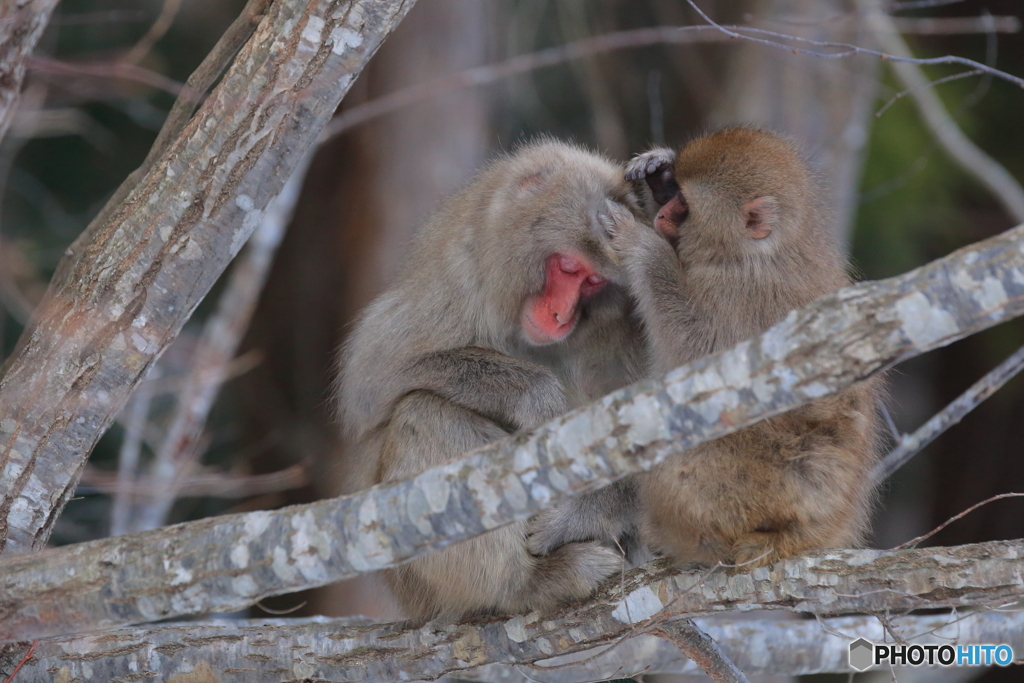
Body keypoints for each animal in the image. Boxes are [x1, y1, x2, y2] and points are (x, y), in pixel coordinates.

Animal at [337, 140, 647, 618]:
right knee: (422, 413)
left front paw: (583, 513)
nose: (561, 315)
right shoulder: (458, 273)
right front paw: (537, 397)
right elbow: (371, 379)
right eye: (567, 266)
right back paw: (525, 583)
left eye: (594, 281)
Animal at [610, 126, 884, 565]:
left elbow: (701, 358)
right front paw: (658, 168)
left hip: (751, 490)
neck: (748, 253)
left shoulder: (736, 293)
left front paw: (645, 249)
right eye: (674, 194)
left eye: (685, 208)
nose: (662, 215)